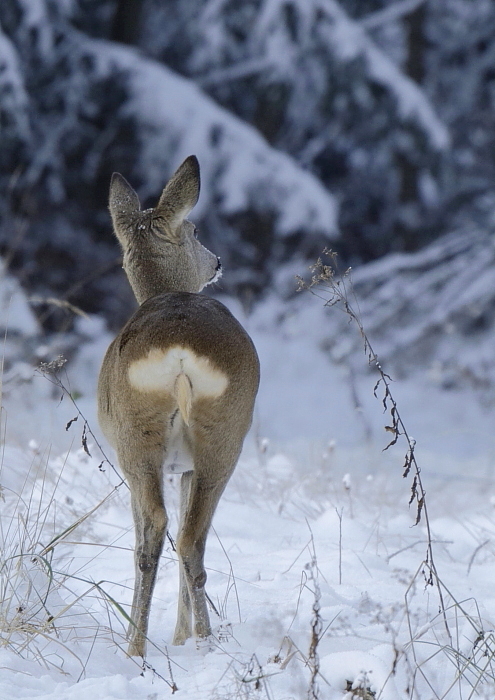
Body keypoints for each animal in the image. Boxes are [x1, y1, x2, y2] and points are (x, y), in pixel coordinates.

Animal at [97, 154, 260, 656]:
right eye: (194, 229)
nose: (217, 261)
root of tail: (181, 352)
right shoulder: (184, 465)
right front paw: (182, 634)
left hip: (139, 437)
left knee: (161, 532)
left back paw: (145, 644)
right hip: (221, 434)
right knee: (184, 536)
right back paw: (191, 642)